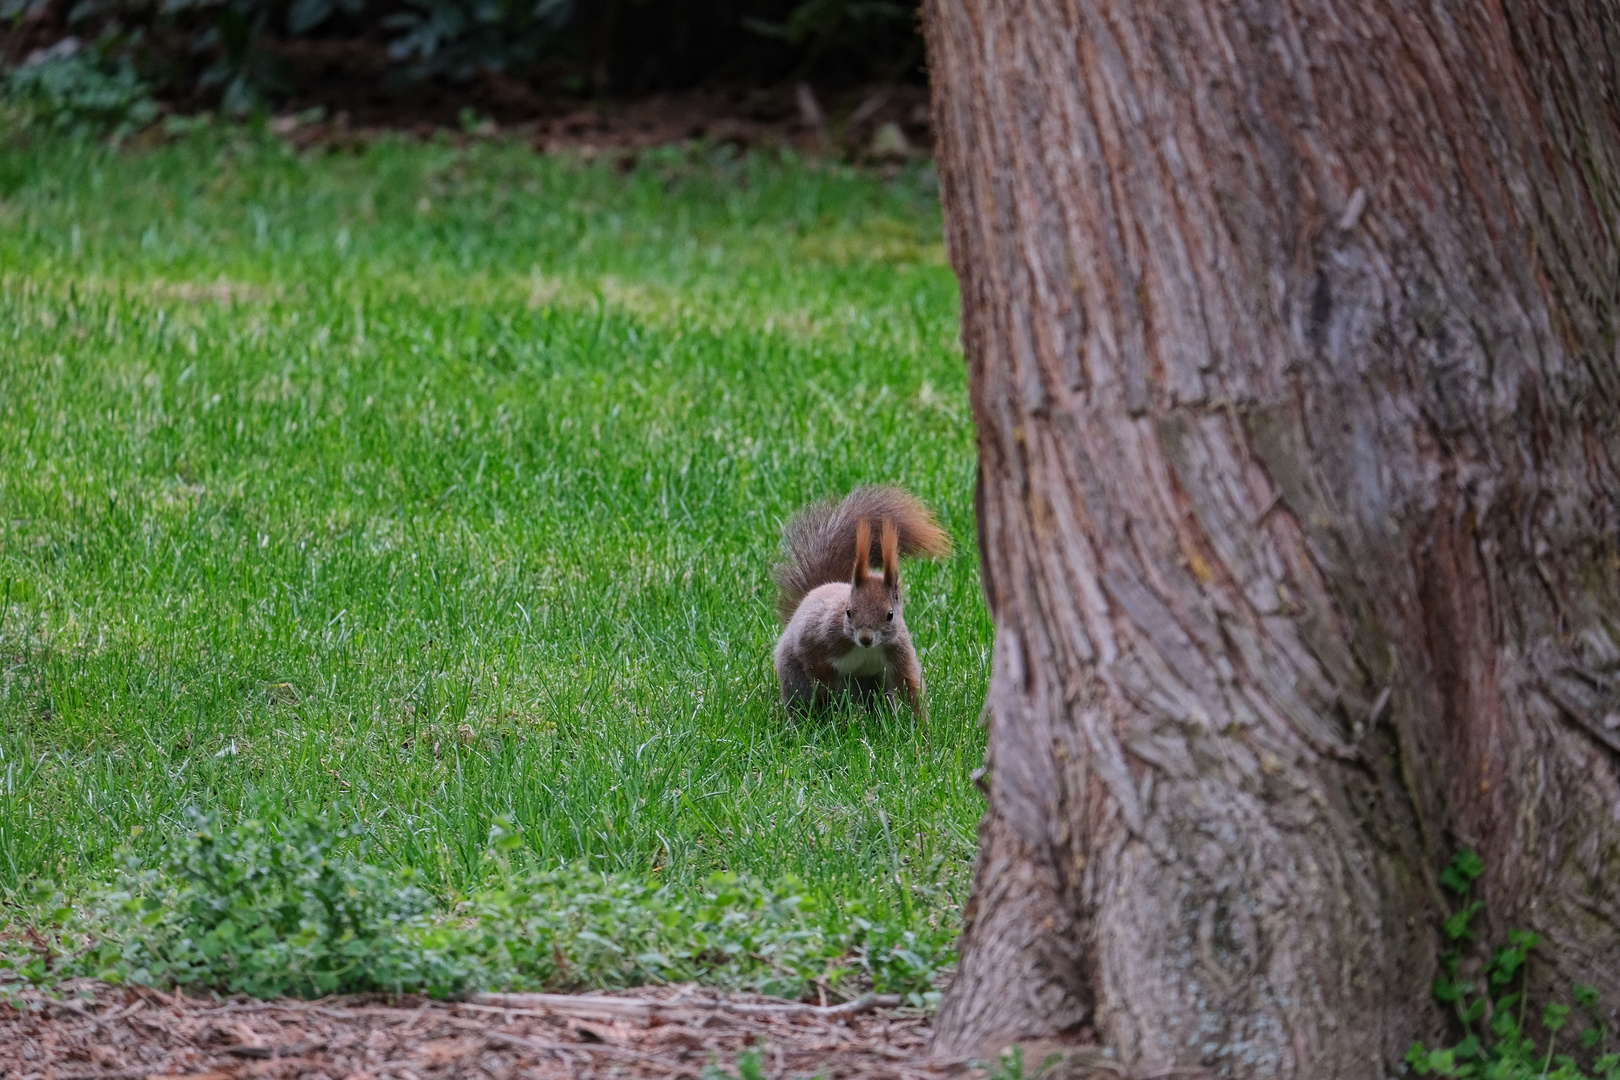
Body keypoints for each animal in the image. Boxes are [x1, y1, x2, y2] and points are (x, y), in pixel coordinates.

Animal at [767, 488, 946, 718]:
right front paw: (827, 688)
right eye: (849, 612)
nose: (865, 638)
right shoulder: (817, 637)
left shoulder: (898, 652)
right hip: (795, 679)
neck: (865, 650)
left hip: (873, 685)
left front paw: (921, 725)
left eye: (890, 615)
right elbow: (811, 658)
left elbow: (910, 685)